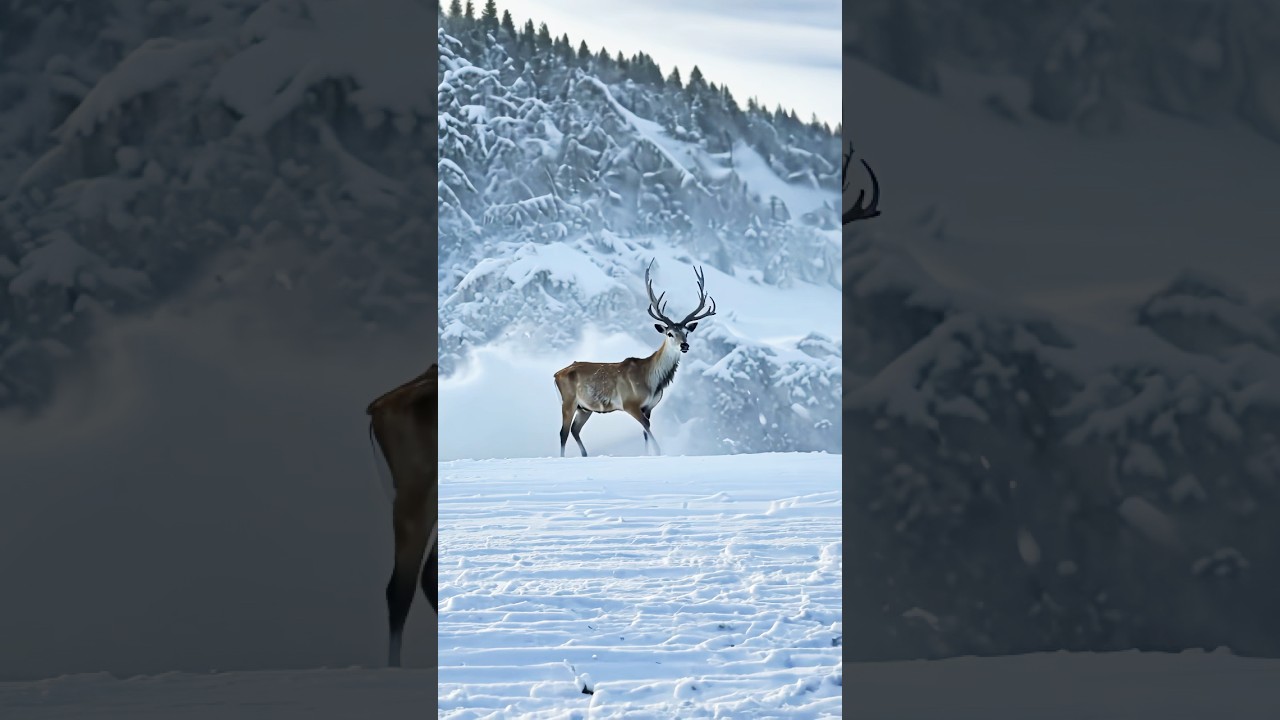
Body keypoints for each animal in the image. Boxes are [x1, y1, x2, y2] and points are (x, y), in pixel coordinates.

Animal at [553, 260, 717, 457]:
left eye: (686, 332)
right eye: (670, 333)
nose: (684, 346)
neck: (651, 380)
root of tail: (556, 374)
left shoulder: (649, 407)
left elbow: (645, 433)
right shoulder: (629, 403)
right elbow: (648, 428)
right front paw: (659, 453)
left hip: (585, 408)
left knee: (575, 430)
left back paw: (585, 455)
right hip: (568, 401)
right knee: (563, 432)